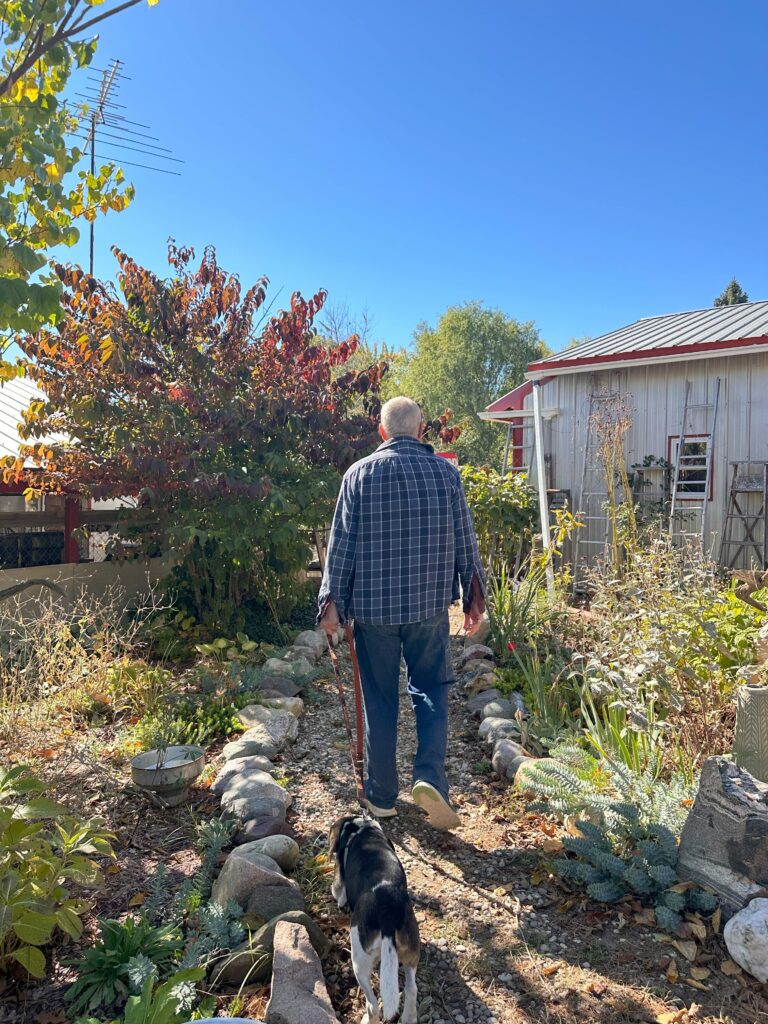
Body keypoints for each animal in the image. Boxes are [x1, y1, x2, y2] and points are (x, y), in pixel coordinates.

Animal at [329, 815, 421, 1024]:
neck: (361, 827)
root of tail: (388, 911)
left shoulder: (340, 880)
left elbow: (338, 891)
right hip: (411, 953)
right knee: (412, 989)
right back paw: (409, 1017)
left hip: (358, 960)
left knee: (372, 1005)